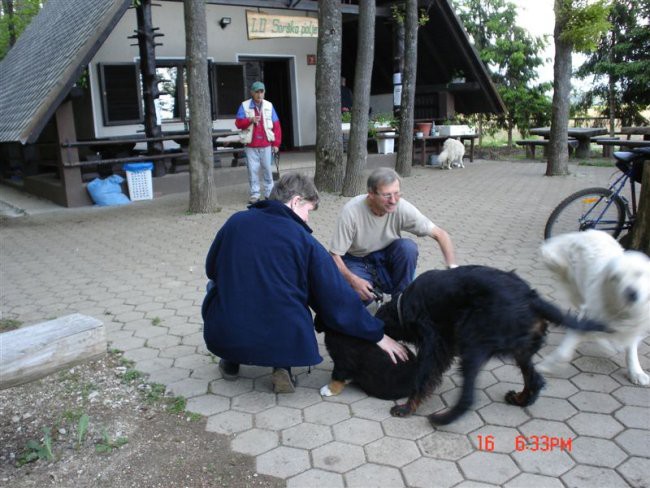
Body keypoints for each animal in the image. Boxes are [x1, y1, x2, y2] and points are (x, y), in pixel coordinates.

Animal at [536, 229, 648, 386]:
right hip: (574, 285)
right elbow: (564, 352)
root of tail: (588, 231)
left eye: (639, 273)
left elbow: (631, 347)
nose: (631, 293)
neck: (620, 310)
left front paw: (636, 372)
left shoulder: (634, 323)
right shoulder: (589, 316)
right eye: (616, 278)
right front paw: (548, 366)